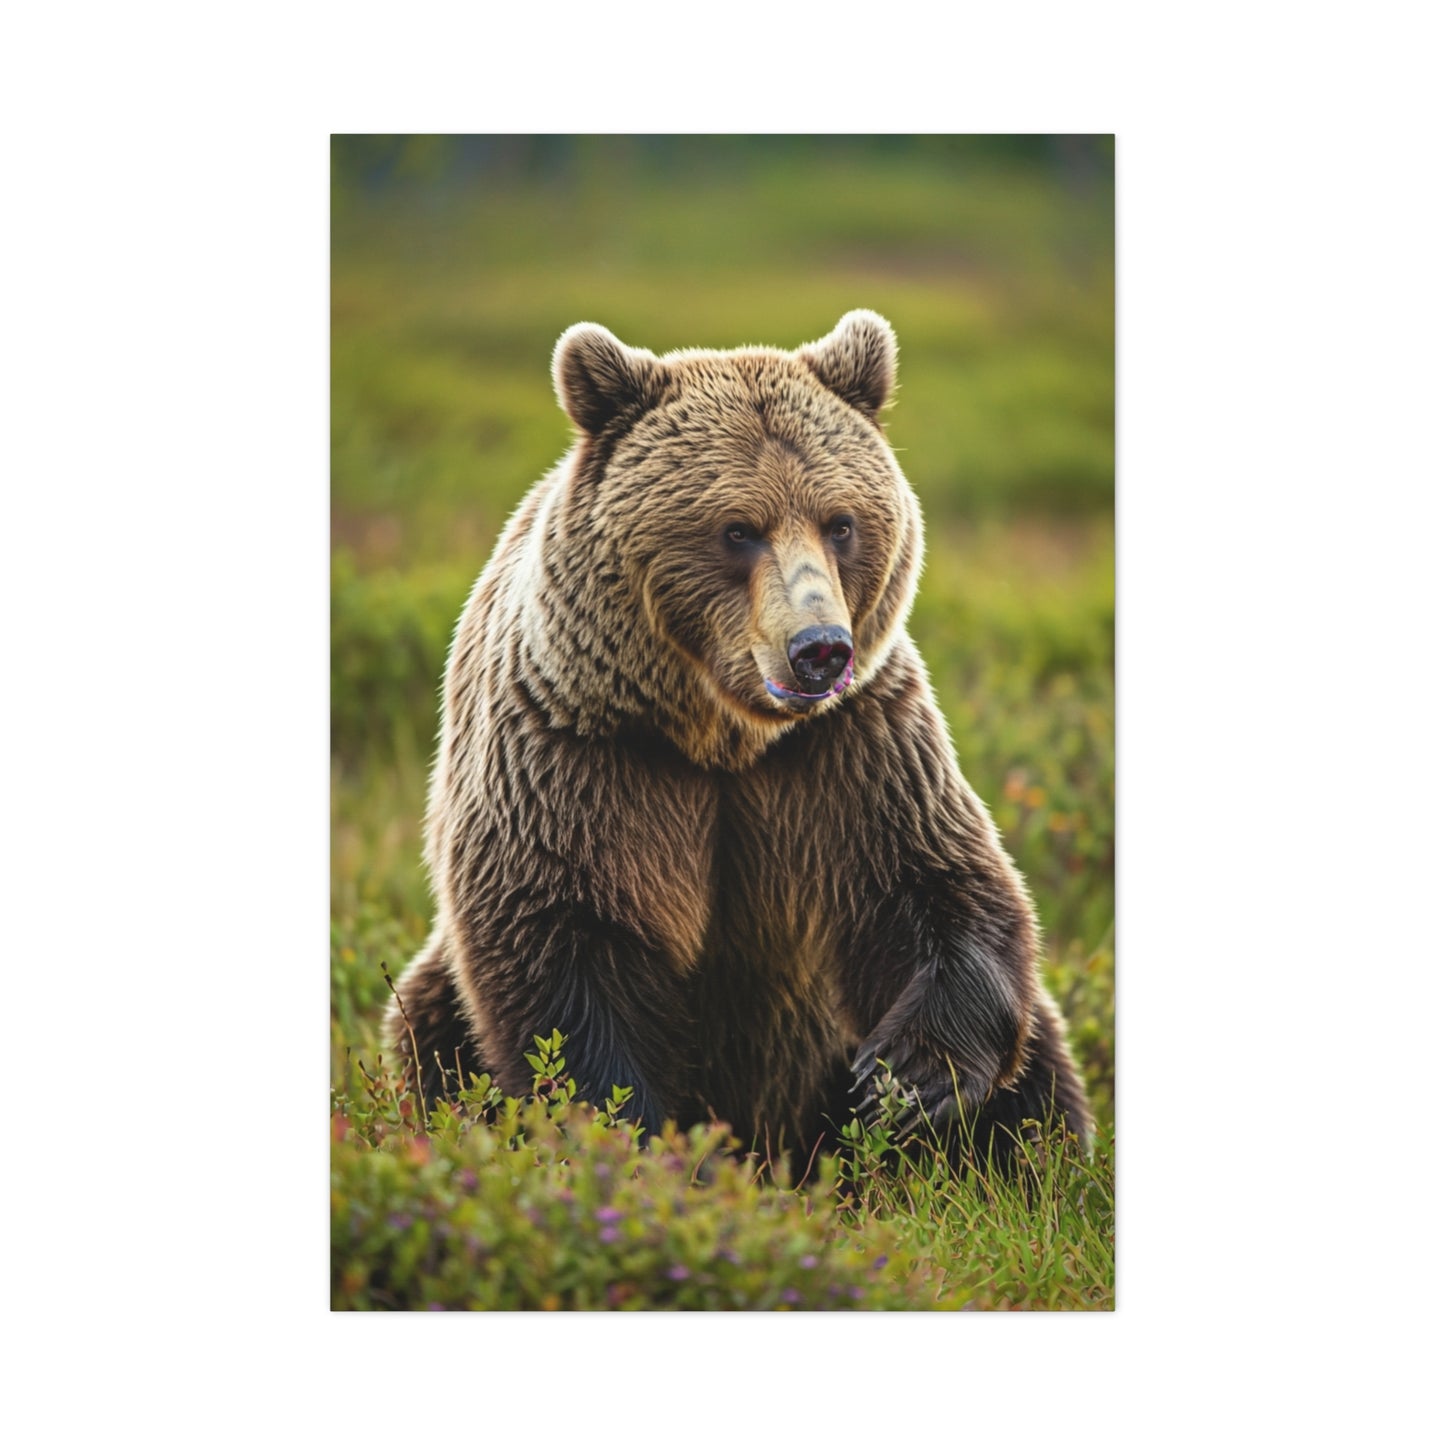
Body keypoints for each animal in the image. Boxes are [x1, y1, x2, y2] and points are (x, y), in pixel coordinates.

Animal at [386, 310, 1092, 1170]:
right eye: (736, 528)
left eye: (841, 521)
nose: (819, 647)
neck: (721, 737)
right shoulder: (576, 756)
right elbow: (562, 944)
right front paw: (626, 1137)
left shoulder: (854, 750)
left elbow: (938, 881)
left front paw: (906, 1078)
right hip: (438, 989)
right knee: (429, 1024)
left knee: (1040, 1059)